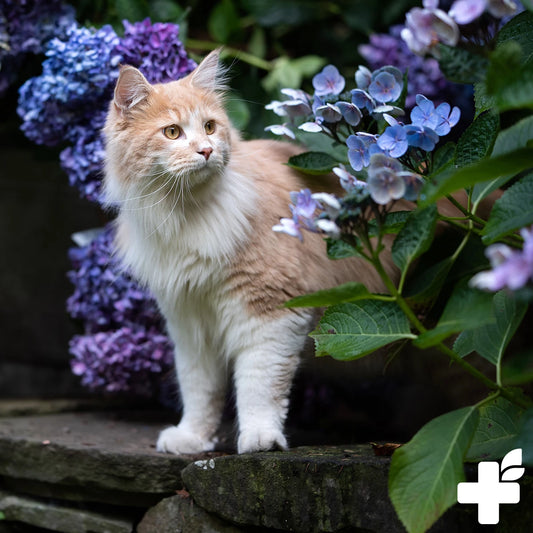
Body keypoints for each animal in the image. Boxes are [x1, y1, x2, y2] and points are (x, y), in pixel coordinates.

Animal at [103, 50, 390, 454]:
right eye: (172, 132)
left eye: (210, 127)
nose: (207, 151)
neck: (186, 213)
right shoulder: (190, 324)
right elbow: (199, 388)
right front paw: (193, 437)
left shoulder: (269, 312)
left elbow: (258, 385)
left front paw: (261, 438)